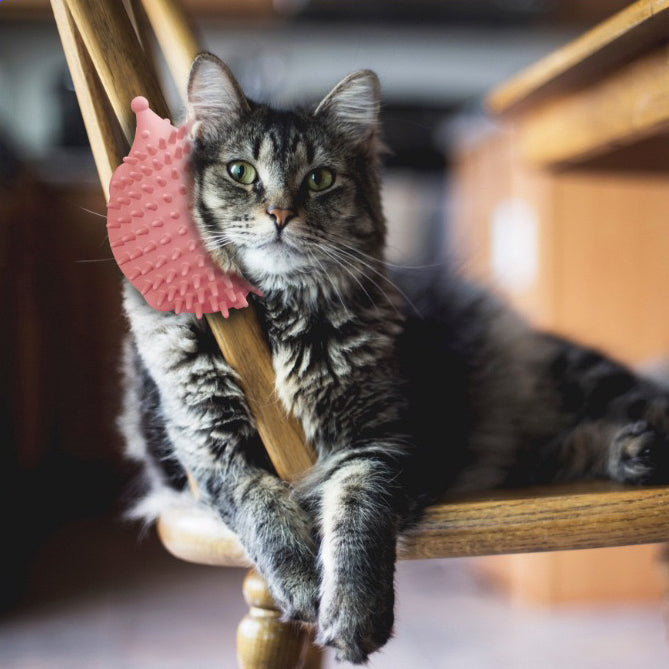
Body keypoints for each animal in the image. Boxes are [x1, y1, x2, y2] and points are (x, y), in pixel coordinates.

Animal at [118, 53, 668, 664]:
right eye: (240, 172)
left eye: (320, 178)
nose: (279, 214)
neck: (277, 318)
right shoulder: (209, 451)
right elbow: (262, 512)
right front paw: (303, 588)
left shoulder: (386, 440)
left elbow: (358, 517)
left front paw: (353, 613)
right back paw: (632, 453)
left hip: (567, 381)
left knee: (644, 403)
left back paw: (639, 450)